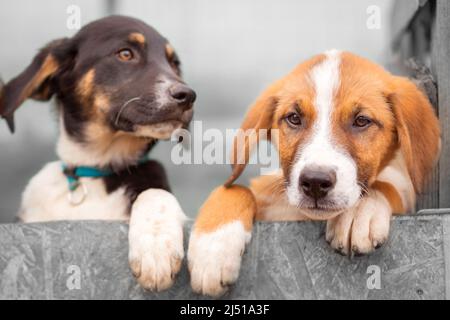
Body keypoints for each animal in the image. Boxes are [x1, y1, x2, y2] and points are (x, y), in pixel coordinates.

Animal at [0, 16, 196, 292]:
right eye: (125, 53)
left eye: (174, 64)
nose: (188, 96)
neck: (95, 170)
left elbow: (155, 193)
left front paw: (156, 250)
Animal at [188, 50, 442, 298]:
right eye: (294, 118)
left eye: (361, 121)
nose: (316, 182)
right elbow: (234, 189)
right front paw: (212, 248)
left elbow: (385, 185)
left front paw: (360, 211)